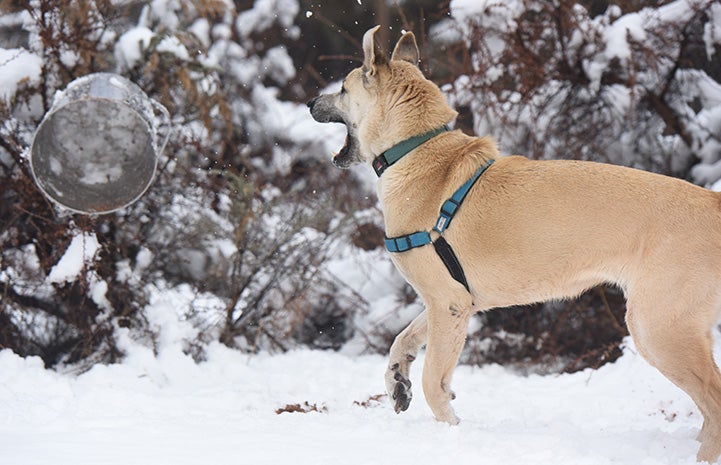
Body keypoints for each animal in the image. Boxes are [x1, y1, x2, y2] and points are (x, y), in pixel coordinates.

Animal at [308, 27, 720, 462]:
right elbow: (402, 340)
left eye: (342, 88)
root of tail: (714, 202)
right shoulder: (452, 303)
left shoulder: (448, 305)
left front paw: (450, 431)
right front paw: (397, 381)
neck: (416, 149)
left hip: (656, 328)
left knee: (715, 400)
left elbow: (433, 380)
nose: (309, 103)